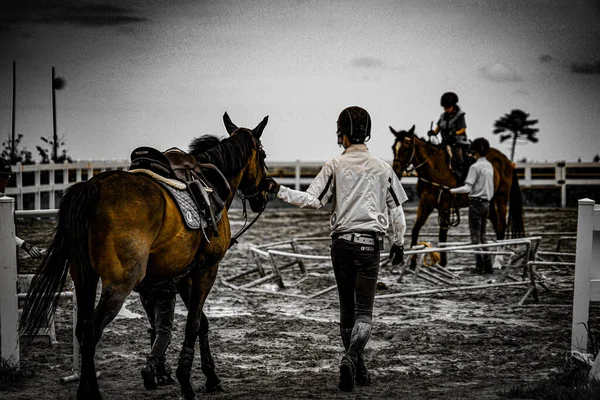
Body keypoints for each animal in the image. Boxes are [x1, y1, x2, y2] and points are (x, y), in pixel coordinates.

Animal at [19, 112, 270, 400]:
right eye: (263, 155)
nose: (265, 192)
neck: (212, 184)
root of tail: (92, 187)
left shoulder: (183, 275)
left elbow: (202, 323)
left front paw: (211, 377)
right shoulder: (206, 269)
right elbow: (194, 324)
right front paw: (187, 384)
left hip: (84, 278)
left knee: (82, 329)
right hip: (119, 284)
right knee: (92, 329)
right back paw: (93, 393)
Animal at [390, 124, 524, 268]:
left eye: (407, 147)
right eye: (393, 148)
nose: (396, 172)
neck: (434, 169)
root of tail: (507, 161)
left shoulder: (445, 204)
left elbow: (442, 235)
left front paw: (443, 263)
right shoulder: (425, 204)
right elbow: (415, 230)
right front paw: (413, 262)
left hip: (501, 198)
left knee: (501, 226)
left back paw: (498, 261)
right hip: (490, 202)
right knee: (495, 224)